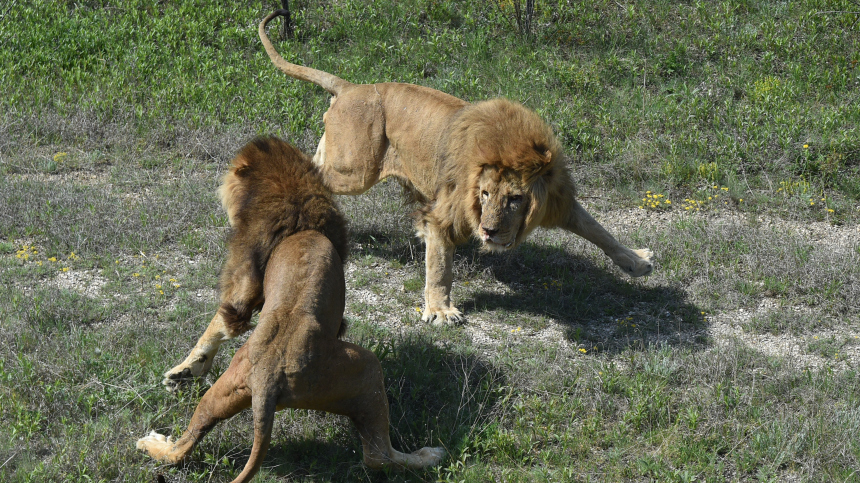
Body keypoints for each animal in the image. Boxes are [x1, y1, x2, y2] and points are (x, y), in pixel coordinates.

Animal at [140, 137, 444, 483]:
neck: (295, 203)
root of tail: (268, 379)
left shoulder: (245, 286)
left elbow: (218, 324)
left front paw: (183, 372)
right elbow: (219, 326)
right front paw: (185, 370)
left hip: (224, 392)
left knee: (182, 448)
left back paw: (154, 443)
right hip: (367, 368)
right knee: (378, 456)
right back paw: (430, 455)